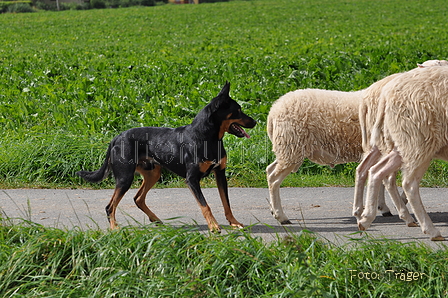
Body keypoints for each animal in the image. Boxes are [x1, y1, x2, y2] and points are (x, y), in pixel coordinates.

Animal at [77, 82, 256, 232]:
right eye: (238, 110)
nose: (255, 122)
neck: (208, 138)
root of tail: (116, 138)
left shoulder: (220, 174)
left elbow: (227, 203)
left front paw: (234, 222)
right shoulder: (192, 179)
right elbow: (205, 205)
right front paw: (213, 226)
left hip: (153, 173)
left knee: (138, 198)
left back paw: (155, 219)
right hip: (124, 178)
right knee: (110, 206)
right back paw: (114, 227)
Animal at [356, 66, 448, 241]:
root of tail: (386, 91)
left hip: (404, 142)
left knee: (374, 170)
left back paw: (365, 217)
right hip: (419, 141)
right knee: (409, 184)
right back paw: (430, 230)